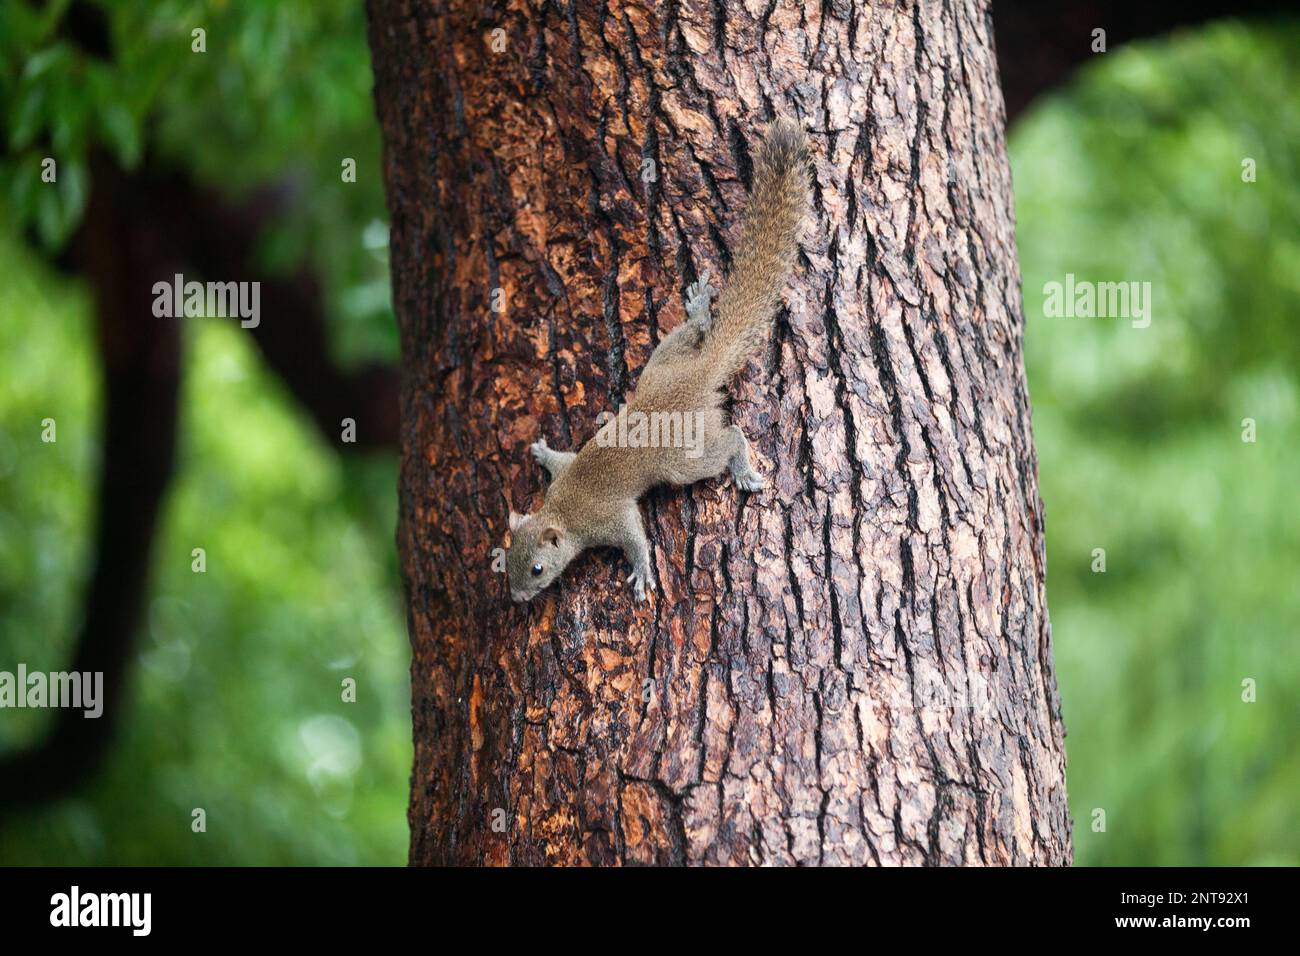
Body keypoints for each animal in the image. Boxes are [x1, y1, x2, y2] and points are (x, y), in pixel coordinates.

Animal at [507, 117, 811, 603]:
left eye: (537, 568)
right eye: (505, 559)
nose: (517, 598)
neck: (561, 509)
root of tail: (701, 374)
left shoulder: (609, 519)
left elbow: (634, 537)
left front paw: (642, 572)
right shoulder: (566, 471)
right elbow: (559, 458)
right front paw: (541, 451)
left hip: (683, 456)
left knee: (730, 438)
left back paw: (743, 468)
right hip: (661, 363)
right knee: (690, 336)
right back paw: (700, 308)